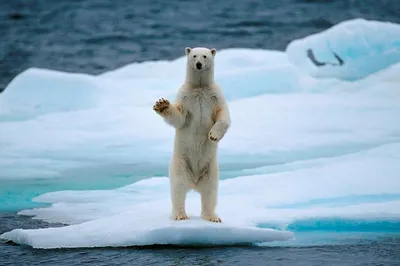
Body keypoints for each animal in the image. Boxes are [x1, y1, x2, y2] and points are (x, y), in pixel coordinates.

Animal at [152, 46, 230, 222]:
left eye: (205, 56)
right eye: (194, 56)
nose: (199, 64)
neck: (199, 87)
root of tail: (194, 183)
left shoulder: (215, 96)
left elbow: (223, 116)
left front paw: (213, 136)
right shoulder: (186, 97)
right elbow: (179, 117)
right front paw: (161, 104)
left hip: (211, 170)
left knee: (210, 192)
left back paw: (212, 217)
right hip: (180, 165)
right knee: (178, 189)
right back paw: (180, 215)